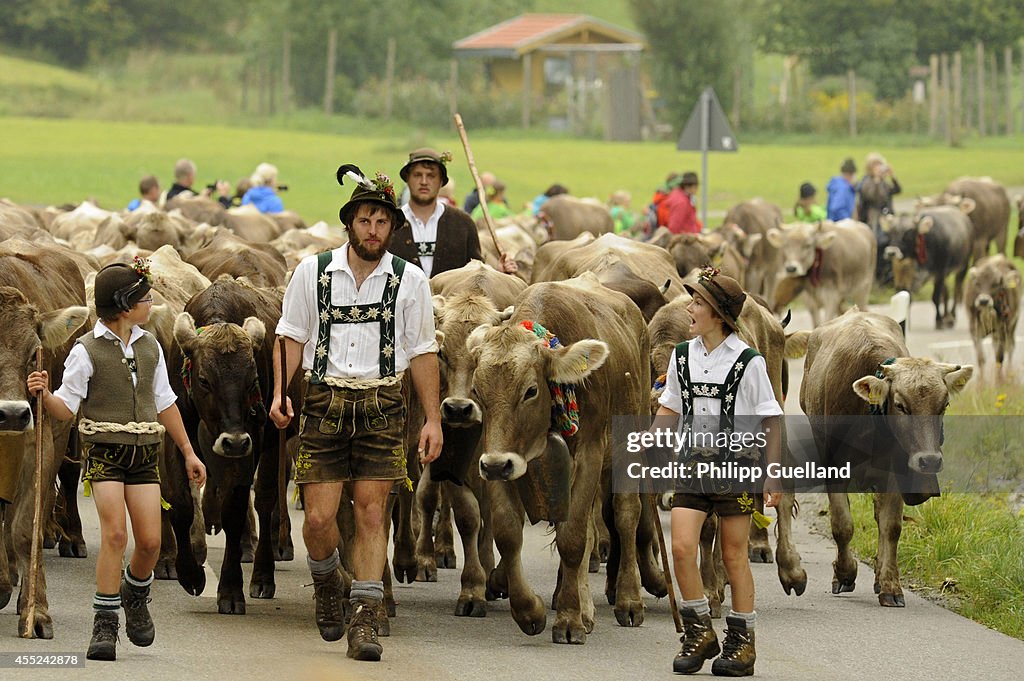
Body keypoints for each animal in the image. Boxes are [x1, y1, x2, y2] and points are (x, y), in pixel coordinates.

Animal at [466, 276, 647, 643]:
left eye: (531, 390)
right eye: (477, 390)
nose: (496, 466)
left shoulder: (590, 453)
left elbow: (573, 537)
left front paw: (569, 619)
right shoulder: (498, 457)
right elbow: (508, 532)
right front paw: (529, 610)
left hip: (628, 445)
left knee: (625, 516)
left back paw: (627, 600)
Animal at [794, 307, 970, 606]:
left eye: (944, 405)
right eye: (900, 405)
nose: (930, 460)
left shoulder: (895, 472)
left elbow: (890, 527)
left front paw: (889, 585)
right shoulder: (833, 467)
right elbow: (842, 525)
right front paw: (845, 574)